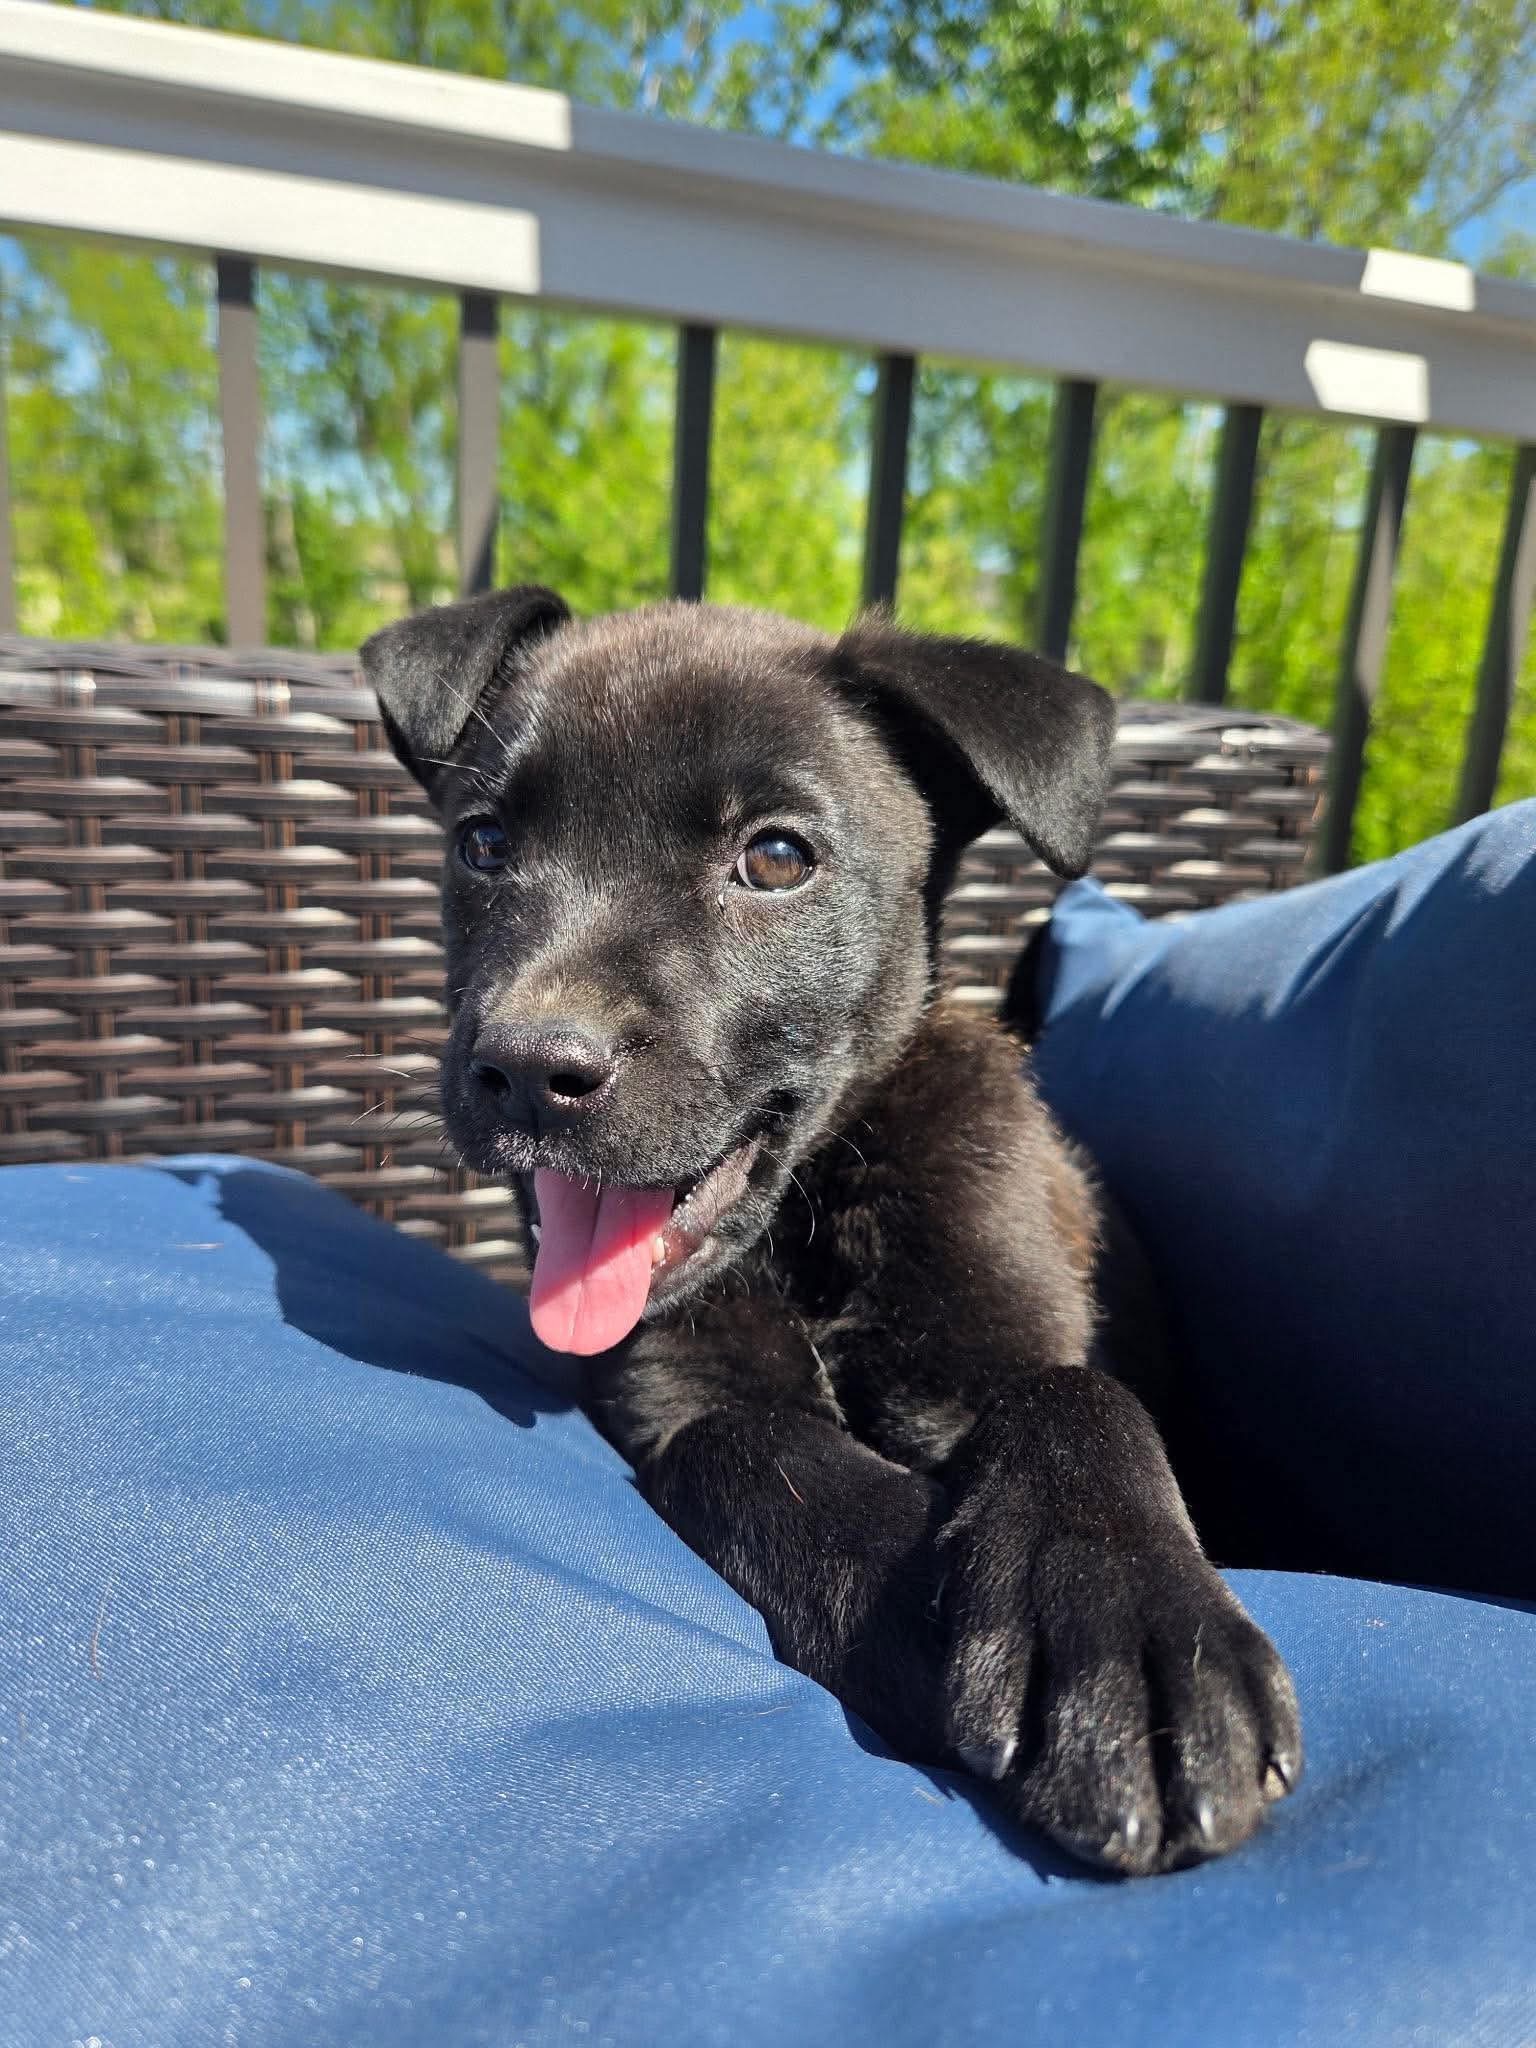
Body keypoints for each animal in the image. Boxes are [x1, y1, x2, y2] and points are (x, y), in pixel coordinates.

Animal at [361, 586, 1301, 1876]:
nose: (527, 1070)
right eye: (483, 844)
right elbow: (777, 1464)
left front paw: (1133, 1643)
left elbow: (1074, 1396)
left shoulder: (1009, 1323)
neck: (812, 1227)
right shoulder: (690, 1402)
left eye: (776, 857)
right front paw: (942, 1616)